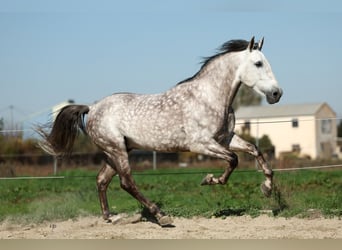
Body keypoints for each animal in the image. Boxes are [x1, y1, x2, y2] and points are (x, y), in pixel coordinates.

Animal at [37, 37, 284, 227]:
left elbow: (255, 150)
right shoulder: (201, 144)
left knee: (102, 180)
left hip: (115, 152)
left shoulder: (225, 139)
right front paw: (209, 179)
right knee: (126, 182)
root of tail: (92, 108)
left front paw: (267, 189)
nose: (276, 93)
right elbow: (233, 160)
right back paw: (161, 215)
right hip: (117, 150)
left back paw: (111, 218)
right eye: (258, 63)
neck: (209, 97)